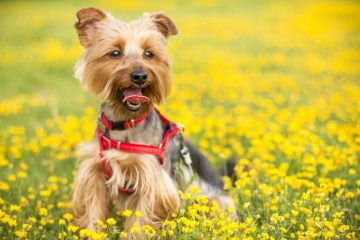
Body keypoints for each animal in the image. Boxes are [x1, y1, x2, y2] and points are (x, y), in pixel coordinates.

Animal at [73, 7, 236, 232]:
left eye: (149, 53)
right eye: (114, 53)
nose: (140, 76)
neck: (124, 123)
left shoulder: (152, 179)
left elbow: (141, 219)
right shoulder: (95, 173)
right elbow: (94, 212)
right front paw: (92, 233)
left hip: (213, 199)